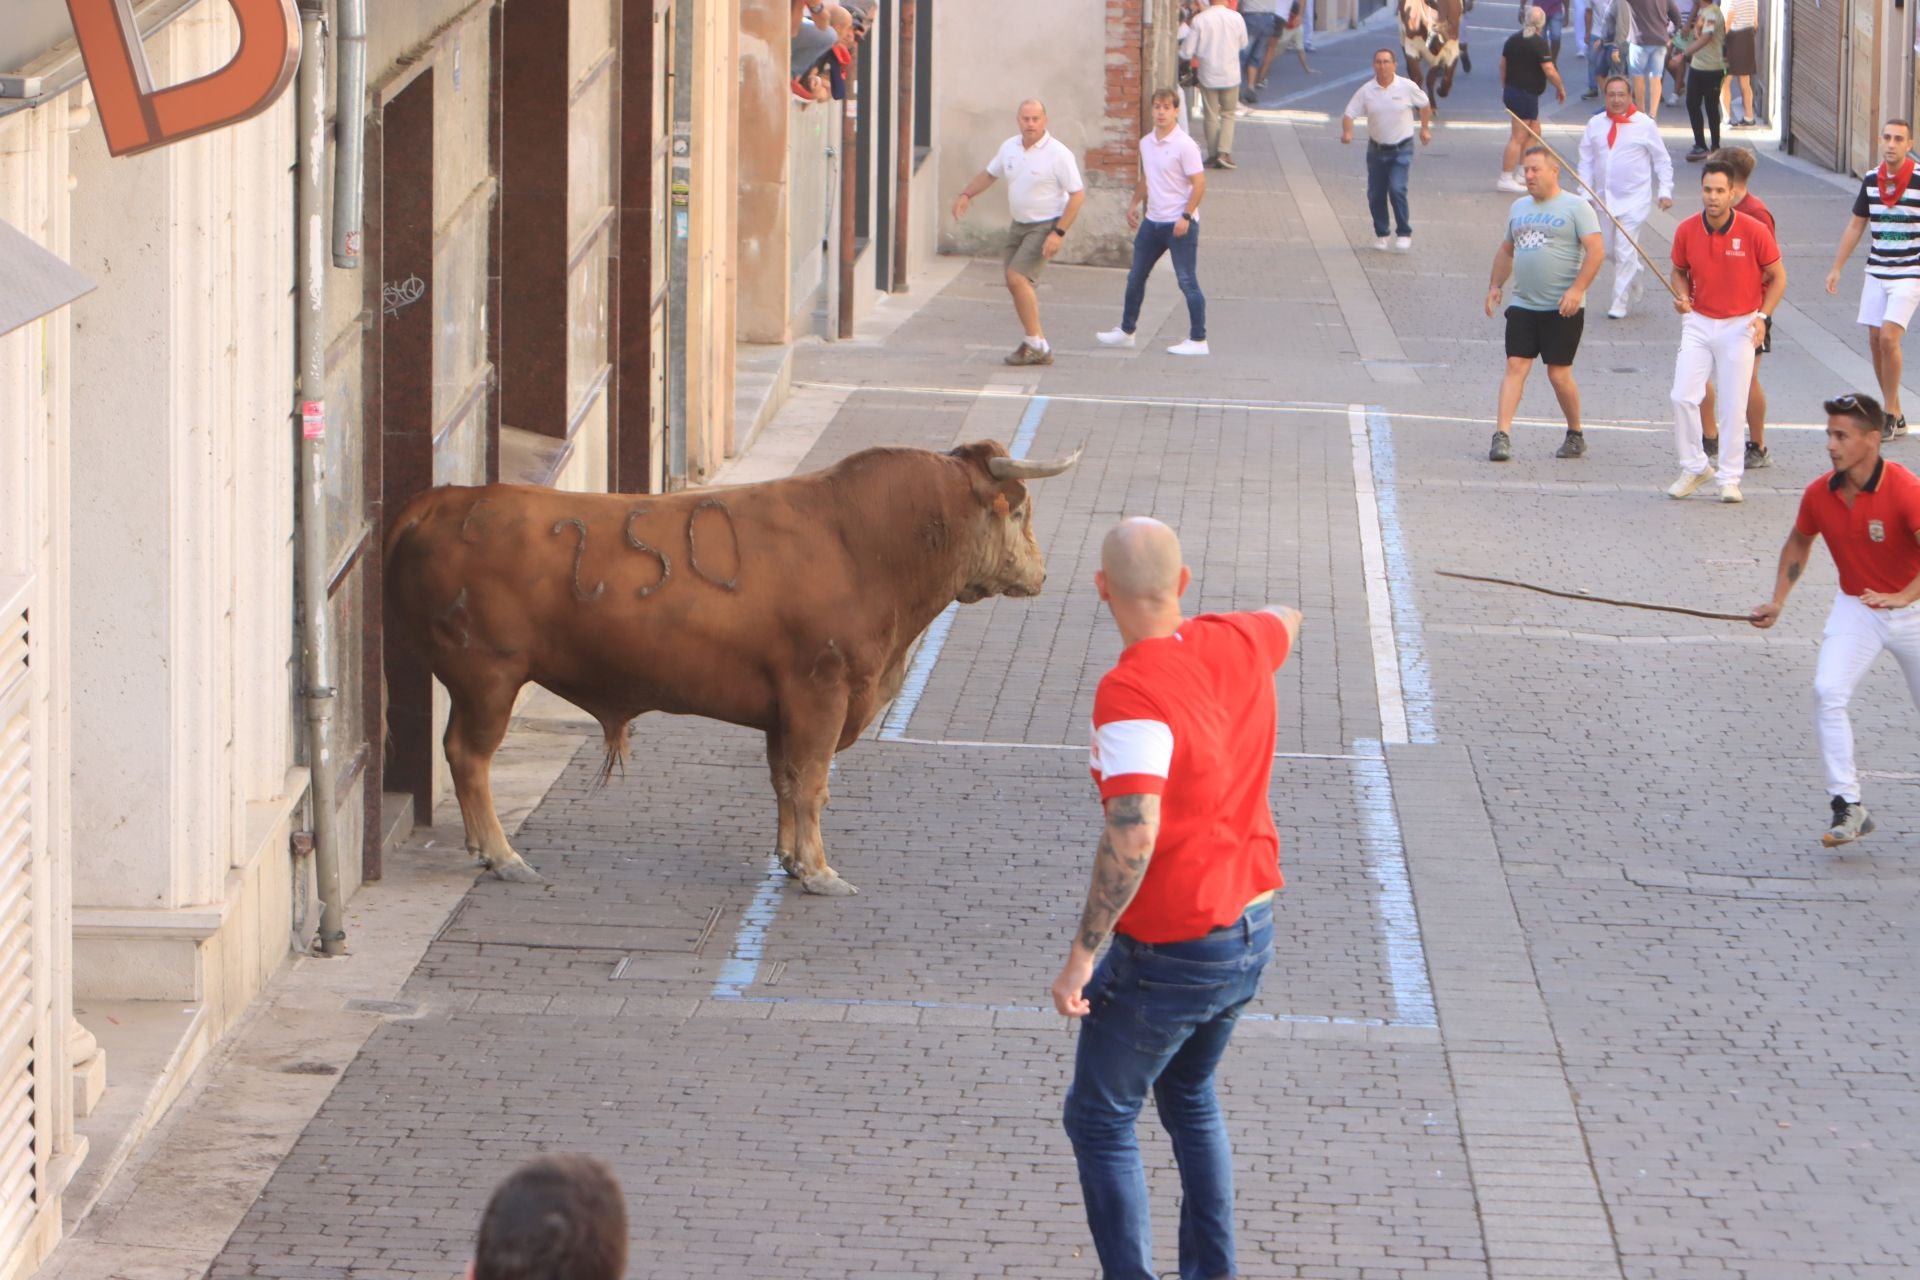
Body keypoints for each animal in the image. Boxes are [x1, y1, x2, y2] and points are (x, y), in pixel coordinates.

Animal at [380, 445, 1075, 898]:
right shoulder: (820, 695)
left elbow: (785, 782)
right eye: (1019, 511)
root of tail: (446, 501)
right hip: (487, 679)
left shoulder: (784, 710)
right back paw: (503, 855)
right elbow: (812, 782)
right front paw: (819, 871)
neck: (865, 543)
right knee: (468, 756)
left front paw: (791, 859)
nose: (1042, 572)